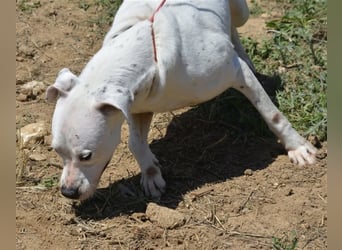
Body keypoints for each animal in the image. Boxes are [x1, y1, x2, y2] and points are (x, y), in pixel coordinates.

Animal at [46, 0, 318, 200]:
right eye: (56, 151)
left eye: (86, 156)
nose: (68, 192)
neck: (149, 48)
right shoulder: (137, 106)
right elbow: (135, 143)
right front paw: (151, 173)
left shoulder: (234, 72)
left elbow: (272, 114)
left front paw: (297, 147)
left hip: (243, 12)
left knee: (235, 26)